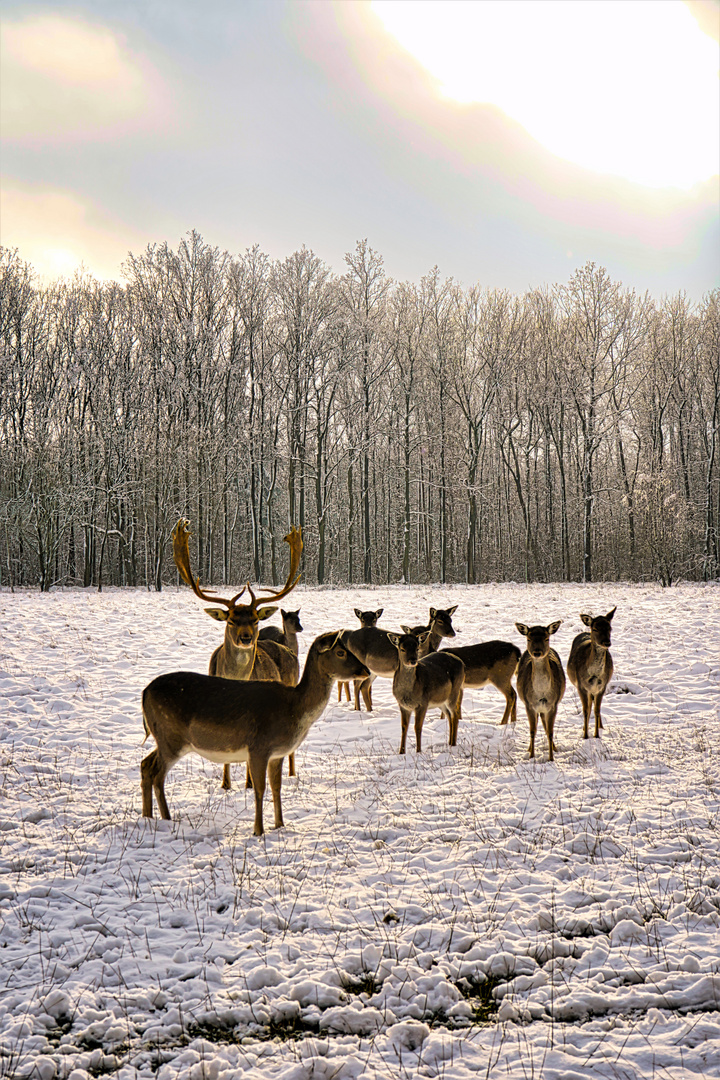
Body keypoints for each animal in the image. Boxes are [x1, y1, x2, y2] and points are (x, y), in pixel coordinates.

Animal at [140, 630, 369, 833]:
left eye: (347, 649)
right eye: (340, 652)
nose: (365, 670)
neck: (294, 708)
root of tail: (144, 693)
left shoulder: (277, 754)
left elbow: (276, 787)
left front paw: (280, 825)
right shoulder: (259, 747)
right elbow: (260, 789)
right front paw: (258, 831)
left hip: (165, 738)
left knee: (145, 764)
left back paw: (148, 817)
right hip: (172, 737)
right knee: (157, 773)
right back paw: (167, 819)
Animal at [172, 518, 302, 790]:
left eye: (255, 619)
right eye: (231, 619)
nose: (246, 638)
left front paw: (250, 783)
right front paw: (225, 784)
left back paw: (291, 772)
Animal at [515, 622, 565, 764]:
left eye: (546, 638)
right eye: (528, 639)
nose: (537, 652)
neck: (542, 693)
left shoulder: (553, 705)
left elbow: (550, 732)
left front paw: (551, 758)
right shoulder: (529, 705)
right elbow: (533, 731)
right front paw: (531, 756)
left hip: (545, 708)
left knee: (545, 724)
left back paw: (554, 747)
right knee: (539, 723)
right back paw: (529, 749)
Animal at [565, 609, 617, 743]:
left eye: (610, 627)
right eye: (595, 628)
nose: (606, 642)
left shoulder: (602, 686)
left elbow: (597, 710)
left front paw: (597, 734)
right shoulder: (581, 686)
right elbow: (585, 710)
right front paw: (585, 735)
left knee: (594, 706)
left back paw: (601, 726)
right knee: (588, 706)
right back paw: (585, 728)